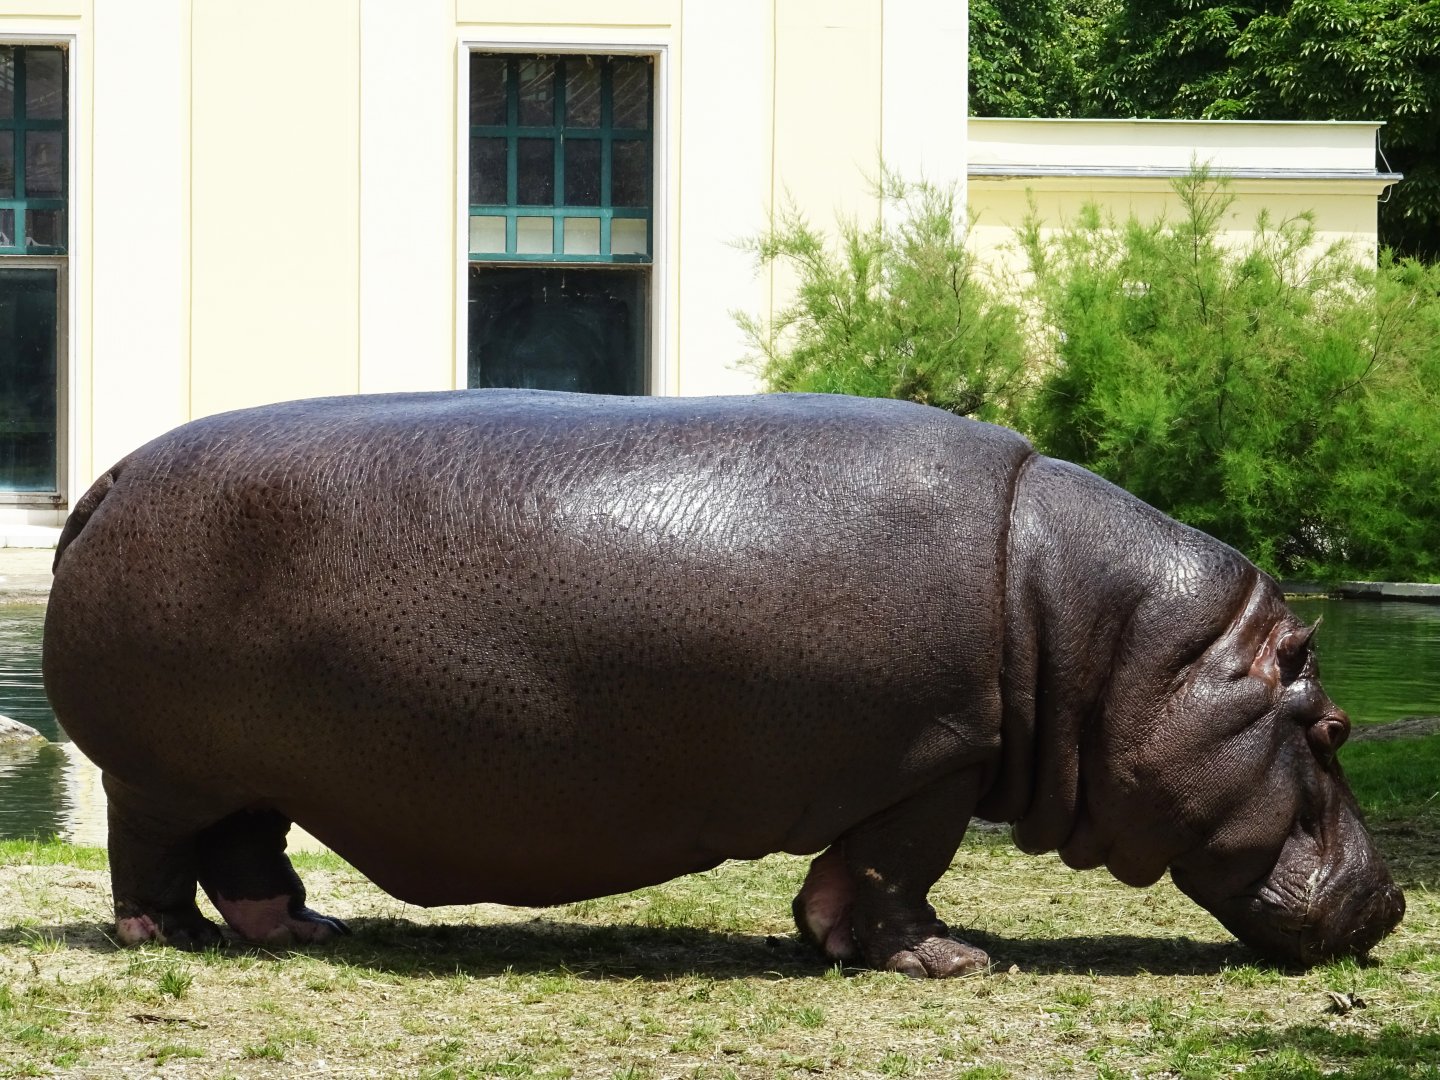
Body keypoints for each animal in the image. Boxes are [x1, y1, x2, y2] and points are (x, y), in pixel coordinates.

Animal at [43, 390, 1402, 975]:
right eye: (1334, 726)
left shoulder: (910, 761)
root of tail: (107, 477)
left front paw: (830, 942)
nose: (1392, 902)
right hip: (162, 773)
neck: (1109, 641)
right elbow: (903, 871)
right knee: (148, 853)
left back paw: (302, 929)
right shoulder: (938, 753)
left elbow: (856, 874)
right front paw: (950, 962)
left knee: (249, 856)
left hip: (252, 773)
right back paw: (165, 938)